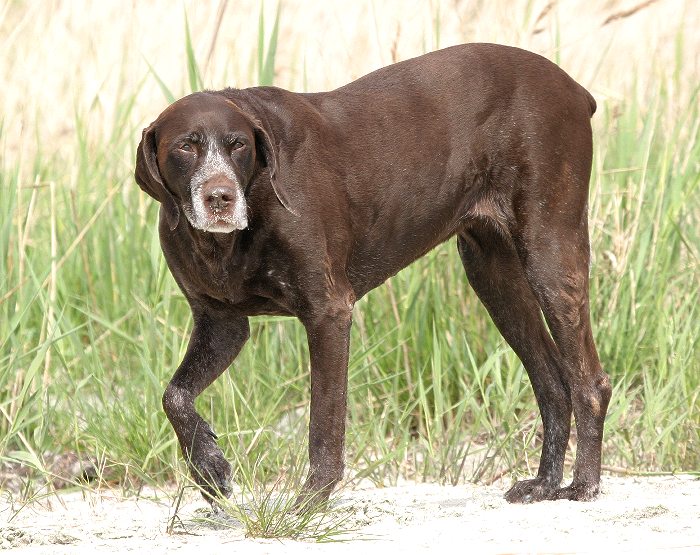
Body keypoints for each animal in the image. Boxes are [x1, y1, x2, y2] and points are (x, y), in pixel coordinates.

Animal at [135, 43, 608, 506]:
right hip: (494, 279)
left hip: (550, 257)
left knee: (589, 383)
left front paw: (309, 503)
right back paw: (544, 483)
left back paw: (582, 485)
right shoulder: (221, 325)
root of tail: (575, 89)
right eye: (185, 146)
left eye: (237, 145)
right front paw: (209, 468)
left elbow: (324, 424)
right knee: (553, 384)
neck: (225, 243)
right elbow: (173, 396)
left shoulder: (328, 312)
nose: (220, 197)